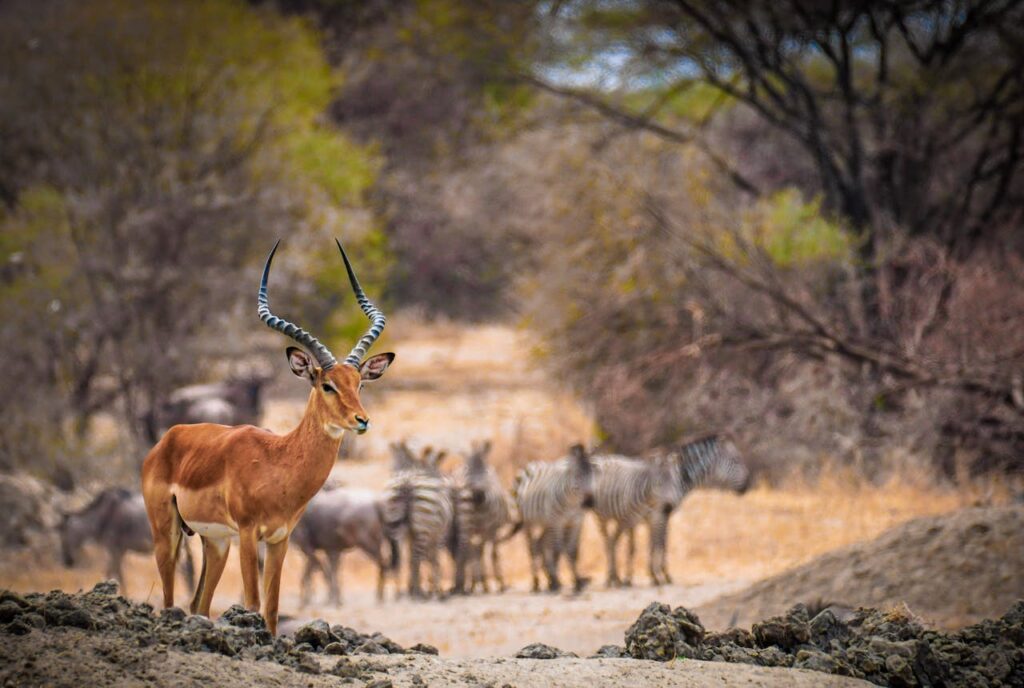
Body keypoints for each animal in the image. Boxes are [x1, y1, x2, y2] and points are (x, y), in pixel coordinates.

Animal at [382, 440, 454, 597]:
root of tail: (407, 482)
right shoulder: (440, 535)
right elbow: (434, 559)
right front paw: (435, 588)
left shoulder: (410, 534)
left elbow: (415, 558)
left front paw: (418, 585)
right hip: (424, 530)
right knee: (417, 557)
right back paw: (417, 592)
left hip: (396, 525)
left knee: (400, 557)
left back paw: (400, 591)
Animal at [450, 444, 512, 593]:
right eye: (467, 470)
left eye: (484, 470)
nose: (477, 495)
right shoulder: (485, 529)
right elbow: (485, 553)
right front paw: (493, 583)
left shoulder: (488, 529)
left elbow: (484, 553)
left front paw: (481, 583)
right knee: (472, 550)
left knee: (471, 550)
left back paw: (468, 584)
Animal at [509, 444, 593, 593]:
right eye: (577, 475)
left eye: (595, 473)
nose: (589, 502)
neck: (572, 502)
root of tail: (532, 463)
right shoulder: (557, 522)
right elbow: (557, 551)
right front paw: (556, 581)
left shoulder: (576, 522)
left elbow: (572, 552)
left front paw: (577, 582)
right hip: (528, 523)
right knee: (532, 548)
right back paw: (536, 583)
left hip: (545, 523)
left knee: (540, 543)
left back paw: (547, 579)